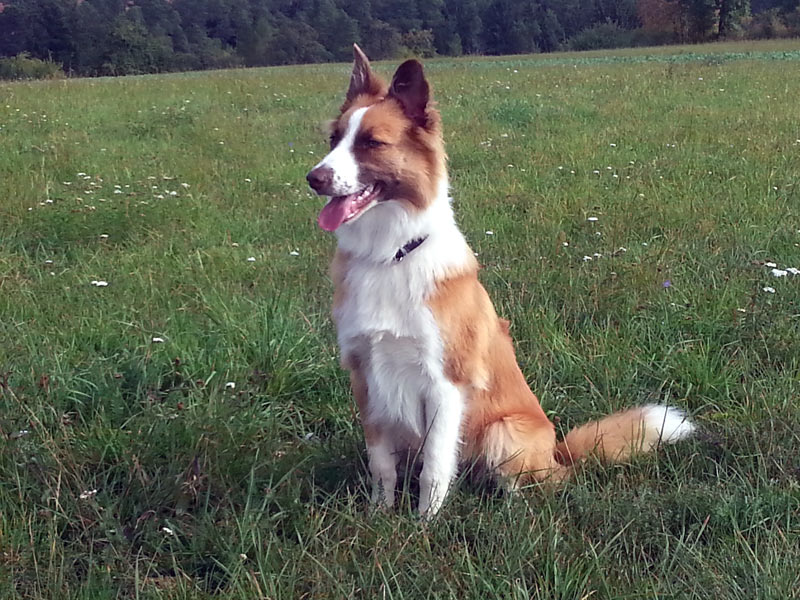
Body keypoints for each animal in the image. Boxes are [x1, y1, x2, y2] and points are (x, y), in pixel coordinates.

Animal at [306, 45, 692, 516]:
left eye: (370, 142)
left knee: (535, 482)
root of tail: (558, 451)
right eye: (334, 139)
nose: (313, 178)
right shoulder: (366, 377)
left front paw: (424, 524)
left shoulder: (445, 384)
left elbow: (434, 468)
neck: (391, 255)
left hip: (503, 432)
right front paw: (380, 514)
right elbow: (382, 465)